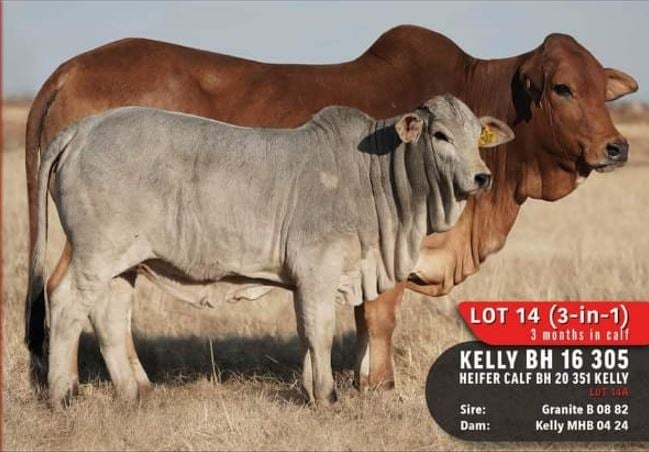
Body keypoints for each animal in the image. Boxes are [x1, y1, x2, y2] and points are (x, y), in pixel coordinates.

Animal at [27, 96, 514, 406]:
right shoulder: (317, 270)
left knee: (110, 317)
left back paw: (133, 394)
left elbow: (307, 333)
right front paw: (327, 396)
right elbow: (319, 330)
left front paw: (311, 389)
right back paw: (62, 395)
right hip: (94, 255)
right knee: (66, 303)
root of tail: (85, 128)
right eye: (441, 135)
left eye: (477, 135)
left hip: (124, 263)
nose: (482, 177)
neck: (372, 174)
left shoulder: (309, 279)